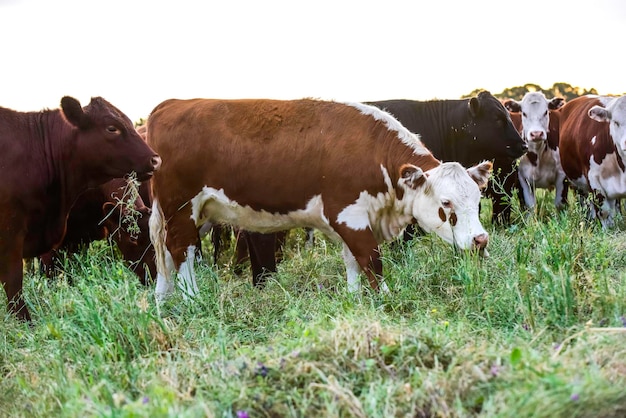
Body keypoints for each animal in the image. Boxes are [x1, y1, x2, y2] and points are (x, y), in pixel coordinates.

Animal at [146, 98, 492, 300]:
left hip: (190, 213)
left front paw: (353, 299)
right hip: (181, 207)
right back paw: (192, 299)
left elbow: (353, 261)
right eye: (446, 203)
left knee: (166, 253)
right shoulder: (348, 214)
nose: (480, 240)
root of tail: (170, 104)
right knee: (182, 251)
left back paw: (162, 302)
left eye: (477, 200)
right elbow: (371, 260)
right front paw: (386, 298)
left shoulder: (357, 218)